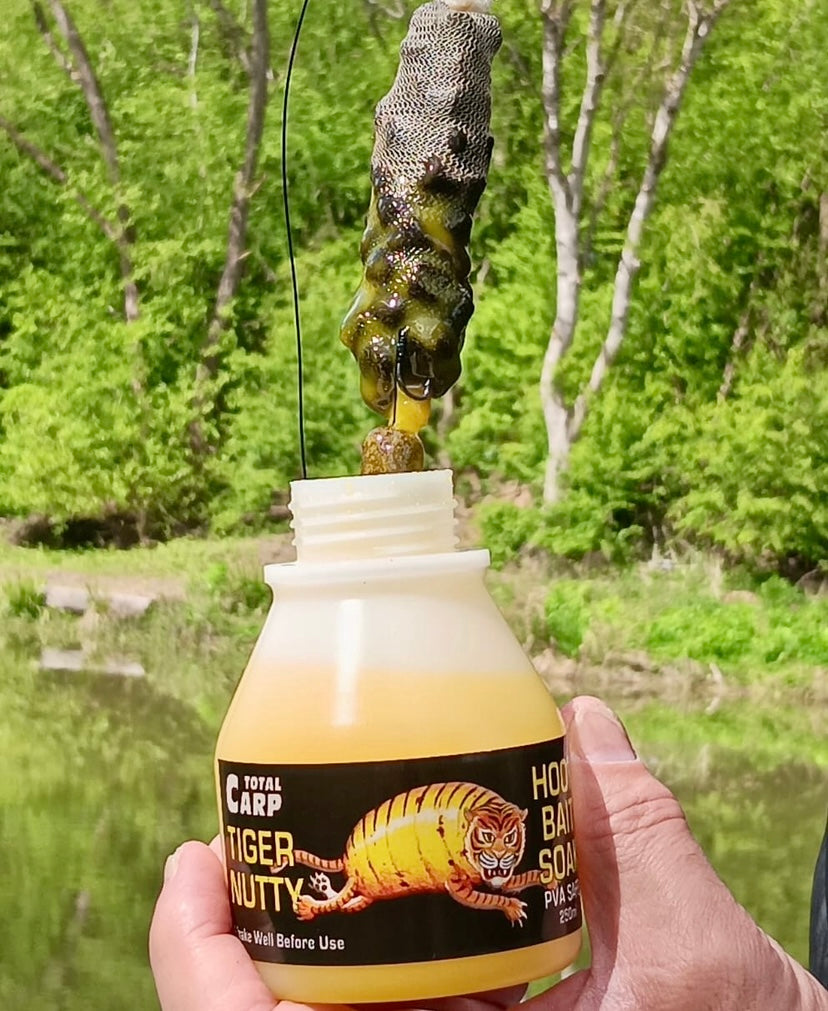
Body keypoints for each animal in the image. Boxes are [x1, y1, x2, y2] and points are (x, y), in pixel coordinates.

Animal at [272, 781, 551, 925]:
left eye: (511, 837)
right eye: (487, 837)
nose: (501, 856)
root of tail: (345, 856)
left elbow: (515, 881)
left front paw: (549, 877)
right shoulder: (458, 883)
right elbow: (491, 897)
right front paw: (512, 907)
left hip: (367, 892)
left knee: (351, 904)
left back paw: (321, 886)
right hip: (359, 878)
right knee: (339, 902)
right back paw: (308, 906)